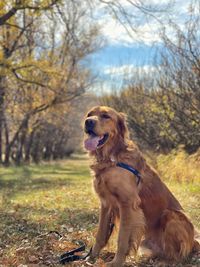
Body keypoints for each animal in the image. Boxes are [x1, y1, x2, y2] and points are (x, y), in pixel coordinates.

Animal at [83, 105, 200, 266]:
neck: (111, 159)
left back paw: (165, 261)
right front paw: (92, 257)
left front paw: (116, 262)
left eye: (106, 116)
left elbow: (122, 238)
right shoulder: (106, 204)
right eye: (89, 114)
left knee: (178, 256)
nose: (88, 122)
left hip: (171, 214)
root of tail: (194, 242)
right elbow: (101, 234)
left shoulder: (127, 204)